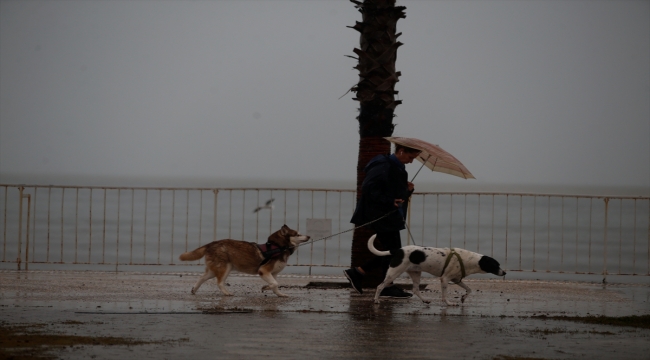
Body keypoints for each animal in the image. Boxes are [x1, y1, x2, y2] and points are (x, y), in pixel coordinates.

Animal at [177, 225, 308, 298]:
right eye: (298, 234)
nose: (309, 236)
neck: (278, 247)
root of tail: (211, 244)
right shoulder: (263, 271)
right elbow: (275, 284)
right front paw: (265, 287)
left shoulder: (273, 273)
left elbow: (275, 285)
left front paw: (279, 294)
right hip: (225, 268)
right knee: (219, 282)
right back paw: (227, 293)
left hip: (214, 270)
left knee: (201, 278)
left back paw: (194, 290)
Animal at [368, 235, 504, 306]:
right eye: (496, 265)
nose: (504, 273)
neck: (469, 260)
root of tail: (398, 250)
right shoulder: (445, 279)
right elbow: (444, 294)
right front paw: (449, 303)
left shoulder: (456, 279)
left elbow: (469, 289)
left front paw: (463, 298)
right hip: (394, 273)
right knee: (380, 286)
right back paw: (376, 300)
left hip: (416, 273)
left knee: (415, 289)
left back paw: (425, 300)